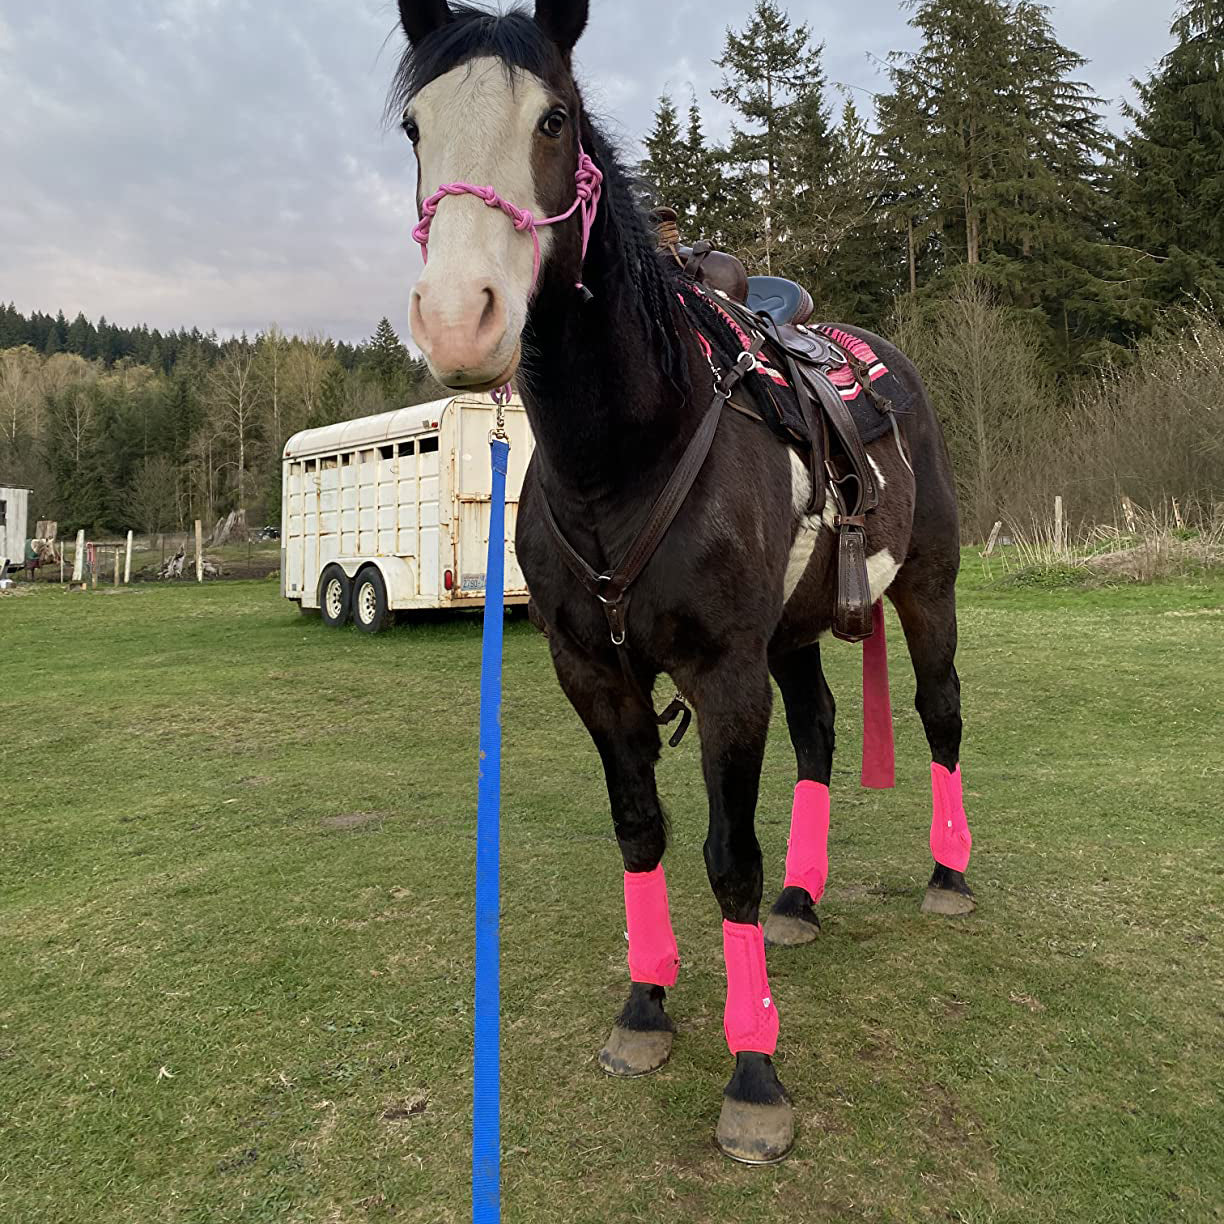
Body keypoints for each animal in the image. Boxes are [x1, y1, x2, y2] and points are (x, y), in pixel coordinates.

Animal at [391, 0, 975, 1163]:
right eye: (415, 129)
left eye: (553, 120)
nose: (459, 315)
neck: (623, 456)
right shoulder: (595, 676)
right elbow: (642, 830)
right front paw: (646, 1007)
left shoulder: (724, 676)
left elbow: (726, 856)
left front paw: (754, 1073)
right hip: (794, 634)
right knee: (822, 731)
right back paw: (803, 897)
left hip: (925, 588)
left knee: (939, 712)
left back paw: (948, 876)